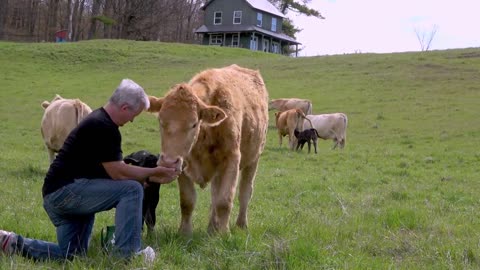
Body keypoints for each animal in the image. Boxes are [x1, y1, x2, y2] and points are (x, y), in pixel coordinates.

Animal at [148, 64, 268, 235]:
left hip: (253, 159)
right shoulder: (183, 163)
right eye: (160, 120)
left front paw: (224, 234)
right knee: (214, 195)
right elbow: (187, 201)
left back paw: (241, 224)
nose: (168, 162)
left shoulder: (231, 160)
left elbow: (225, 200)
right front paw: (184, 232)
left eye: (193, 124)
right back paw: (212, 227)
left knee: (245, 192)